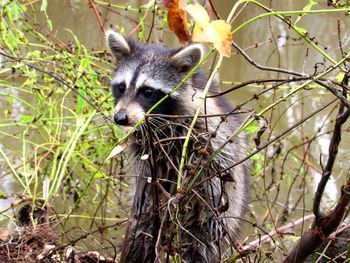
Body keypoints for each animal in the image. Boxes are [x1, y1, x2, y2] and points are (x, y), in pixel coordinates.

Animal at [105, 29, 250, 262]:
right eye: (121, 87)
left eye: (147, 91)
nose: (120, 118)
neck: (160, 118)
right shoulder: (140, 134)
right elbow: (142, 160)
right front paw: (143, 181)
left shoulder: (209, 125)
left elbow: (219, 164)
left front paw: (214, 198)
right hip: (147, 220)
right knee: (139, 238)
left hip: (222, 220)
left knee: (202, 249)